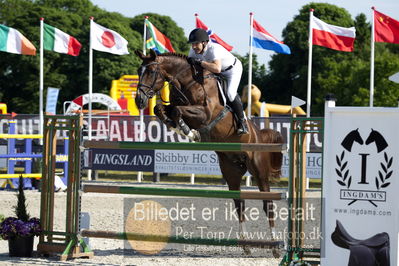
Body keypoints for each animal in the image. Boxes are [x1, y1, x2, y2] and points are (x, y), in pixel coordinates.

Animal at [135, 49, 284, 249]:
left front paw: (188, 131)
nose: (139, 100)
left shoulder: (204, 113)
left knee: (268, 203)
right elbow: (161, 108)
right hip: (231, 169)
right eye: (138, 71)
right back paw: (245, 243)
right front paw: (178, 127)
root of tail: (259, 135)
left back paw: (275, 243)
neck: (187, 82)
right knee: (239, 203)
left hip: (259, 171)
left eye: (151, 72)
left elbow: (177, 111)